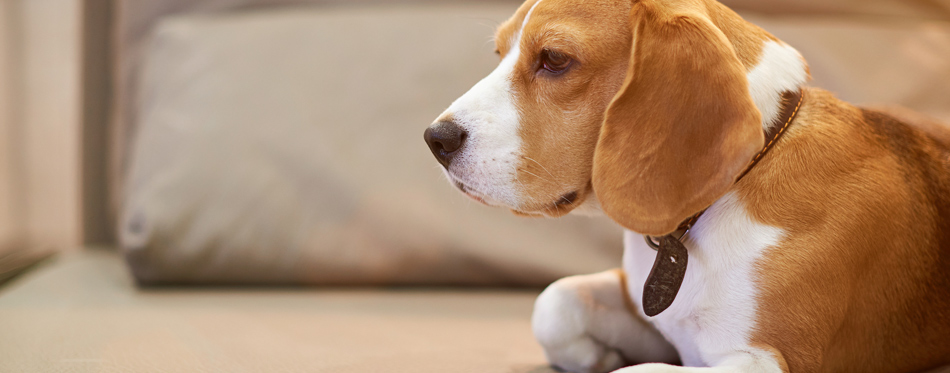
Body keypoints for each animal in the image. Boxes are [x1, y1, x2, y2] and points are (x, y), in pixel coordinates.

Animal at [424, 0, 950, 372]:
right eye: (499, 54)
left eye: (554, 58)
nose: (435, 139)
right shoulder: (647, 306)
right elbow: (555, 301)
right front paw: (597, 354)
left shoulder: (769, 359)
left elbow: (640, 372)